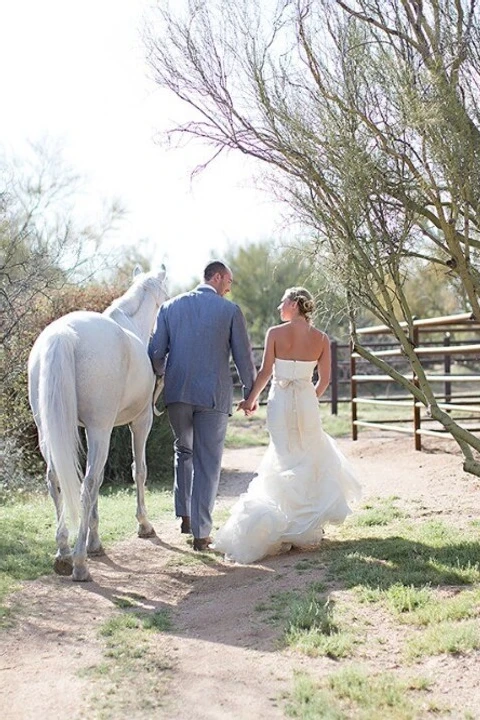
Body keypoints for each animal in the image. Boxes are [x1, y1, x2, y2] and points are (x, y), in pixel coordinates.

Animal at [27, 268, 169, 584]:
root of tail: (63, 334)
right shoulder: (138, 422)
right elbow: (138, 470)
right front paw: (144, 525)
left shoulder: (100, 428)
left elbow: (102, 478)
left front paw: (95, 540)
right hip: (101, 430)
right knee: (86, 484)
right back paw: (79, 564)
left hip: (50, 431)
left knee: (56, 479)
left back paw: (64, 552)